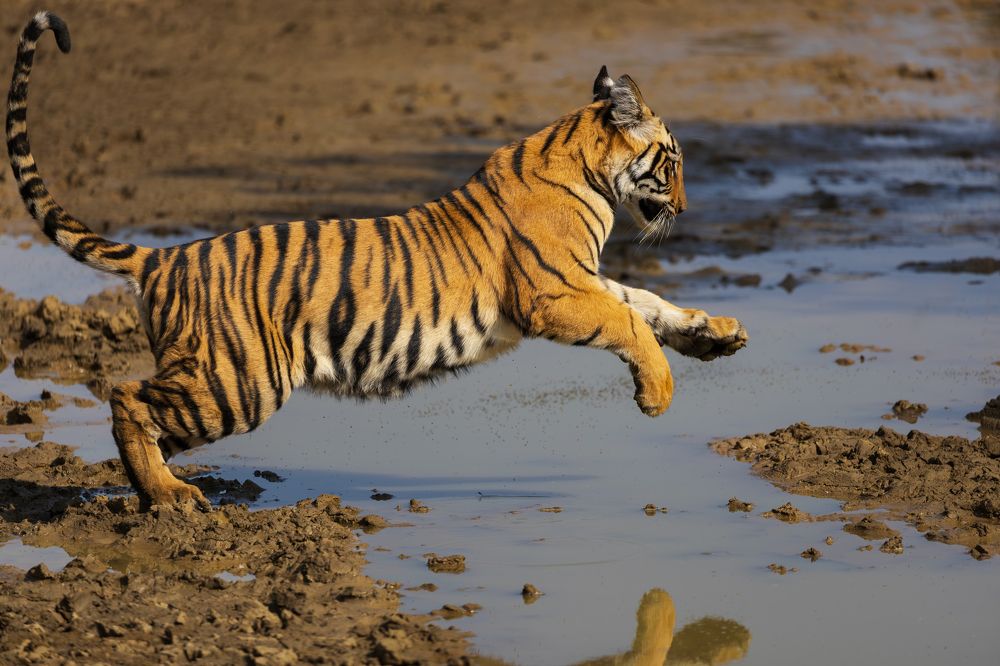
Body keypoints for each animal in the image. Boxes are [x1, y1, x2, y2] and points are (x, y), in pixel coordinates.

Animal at [7, 12, 747, 510]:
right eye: (673, 162)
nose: (687, 207)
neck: (586, 165)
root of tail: (164, 258)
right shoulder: (556, 293)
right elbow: (628, 323)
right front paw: (658, 395)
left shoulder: (583, 282)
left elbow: (647, 305)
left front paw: (715, 336)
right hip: (235, 381)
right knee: (127, 398)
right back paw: (170, 498)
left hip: (219, 381)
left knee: (139, 408)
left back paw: (159, 492)